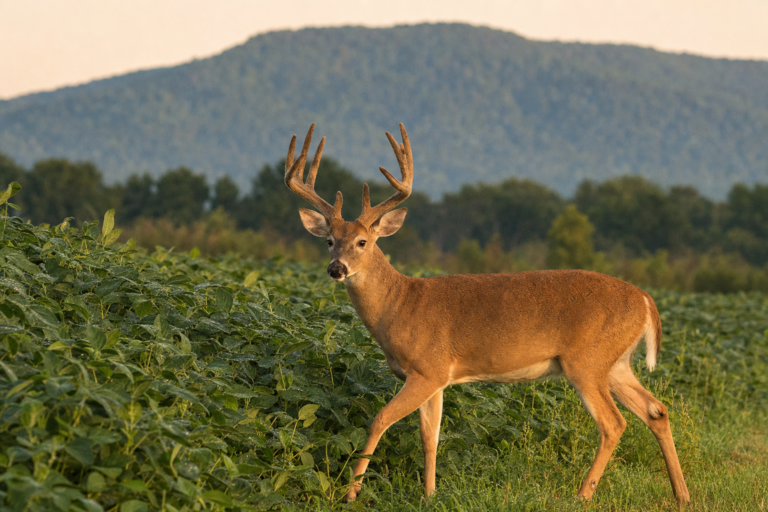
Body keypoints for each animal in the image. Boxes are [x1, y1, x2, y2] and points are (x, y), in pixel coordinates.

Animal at [283, 123, 691, 506]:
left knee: (614, 423)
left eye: (363, 242)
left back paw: (582, 495)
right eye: (329, 241)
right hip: (616, 362)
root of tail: (645, 300)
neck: (400, 306)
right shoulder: (436, 379)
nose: (337, 269)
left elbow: (380, 419)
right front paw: (429, 494)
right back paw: (681, 495)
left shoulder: (427, 369)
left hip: (586, 361)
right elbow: (430, 436)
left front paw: (350, 493)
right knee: (656, 410)